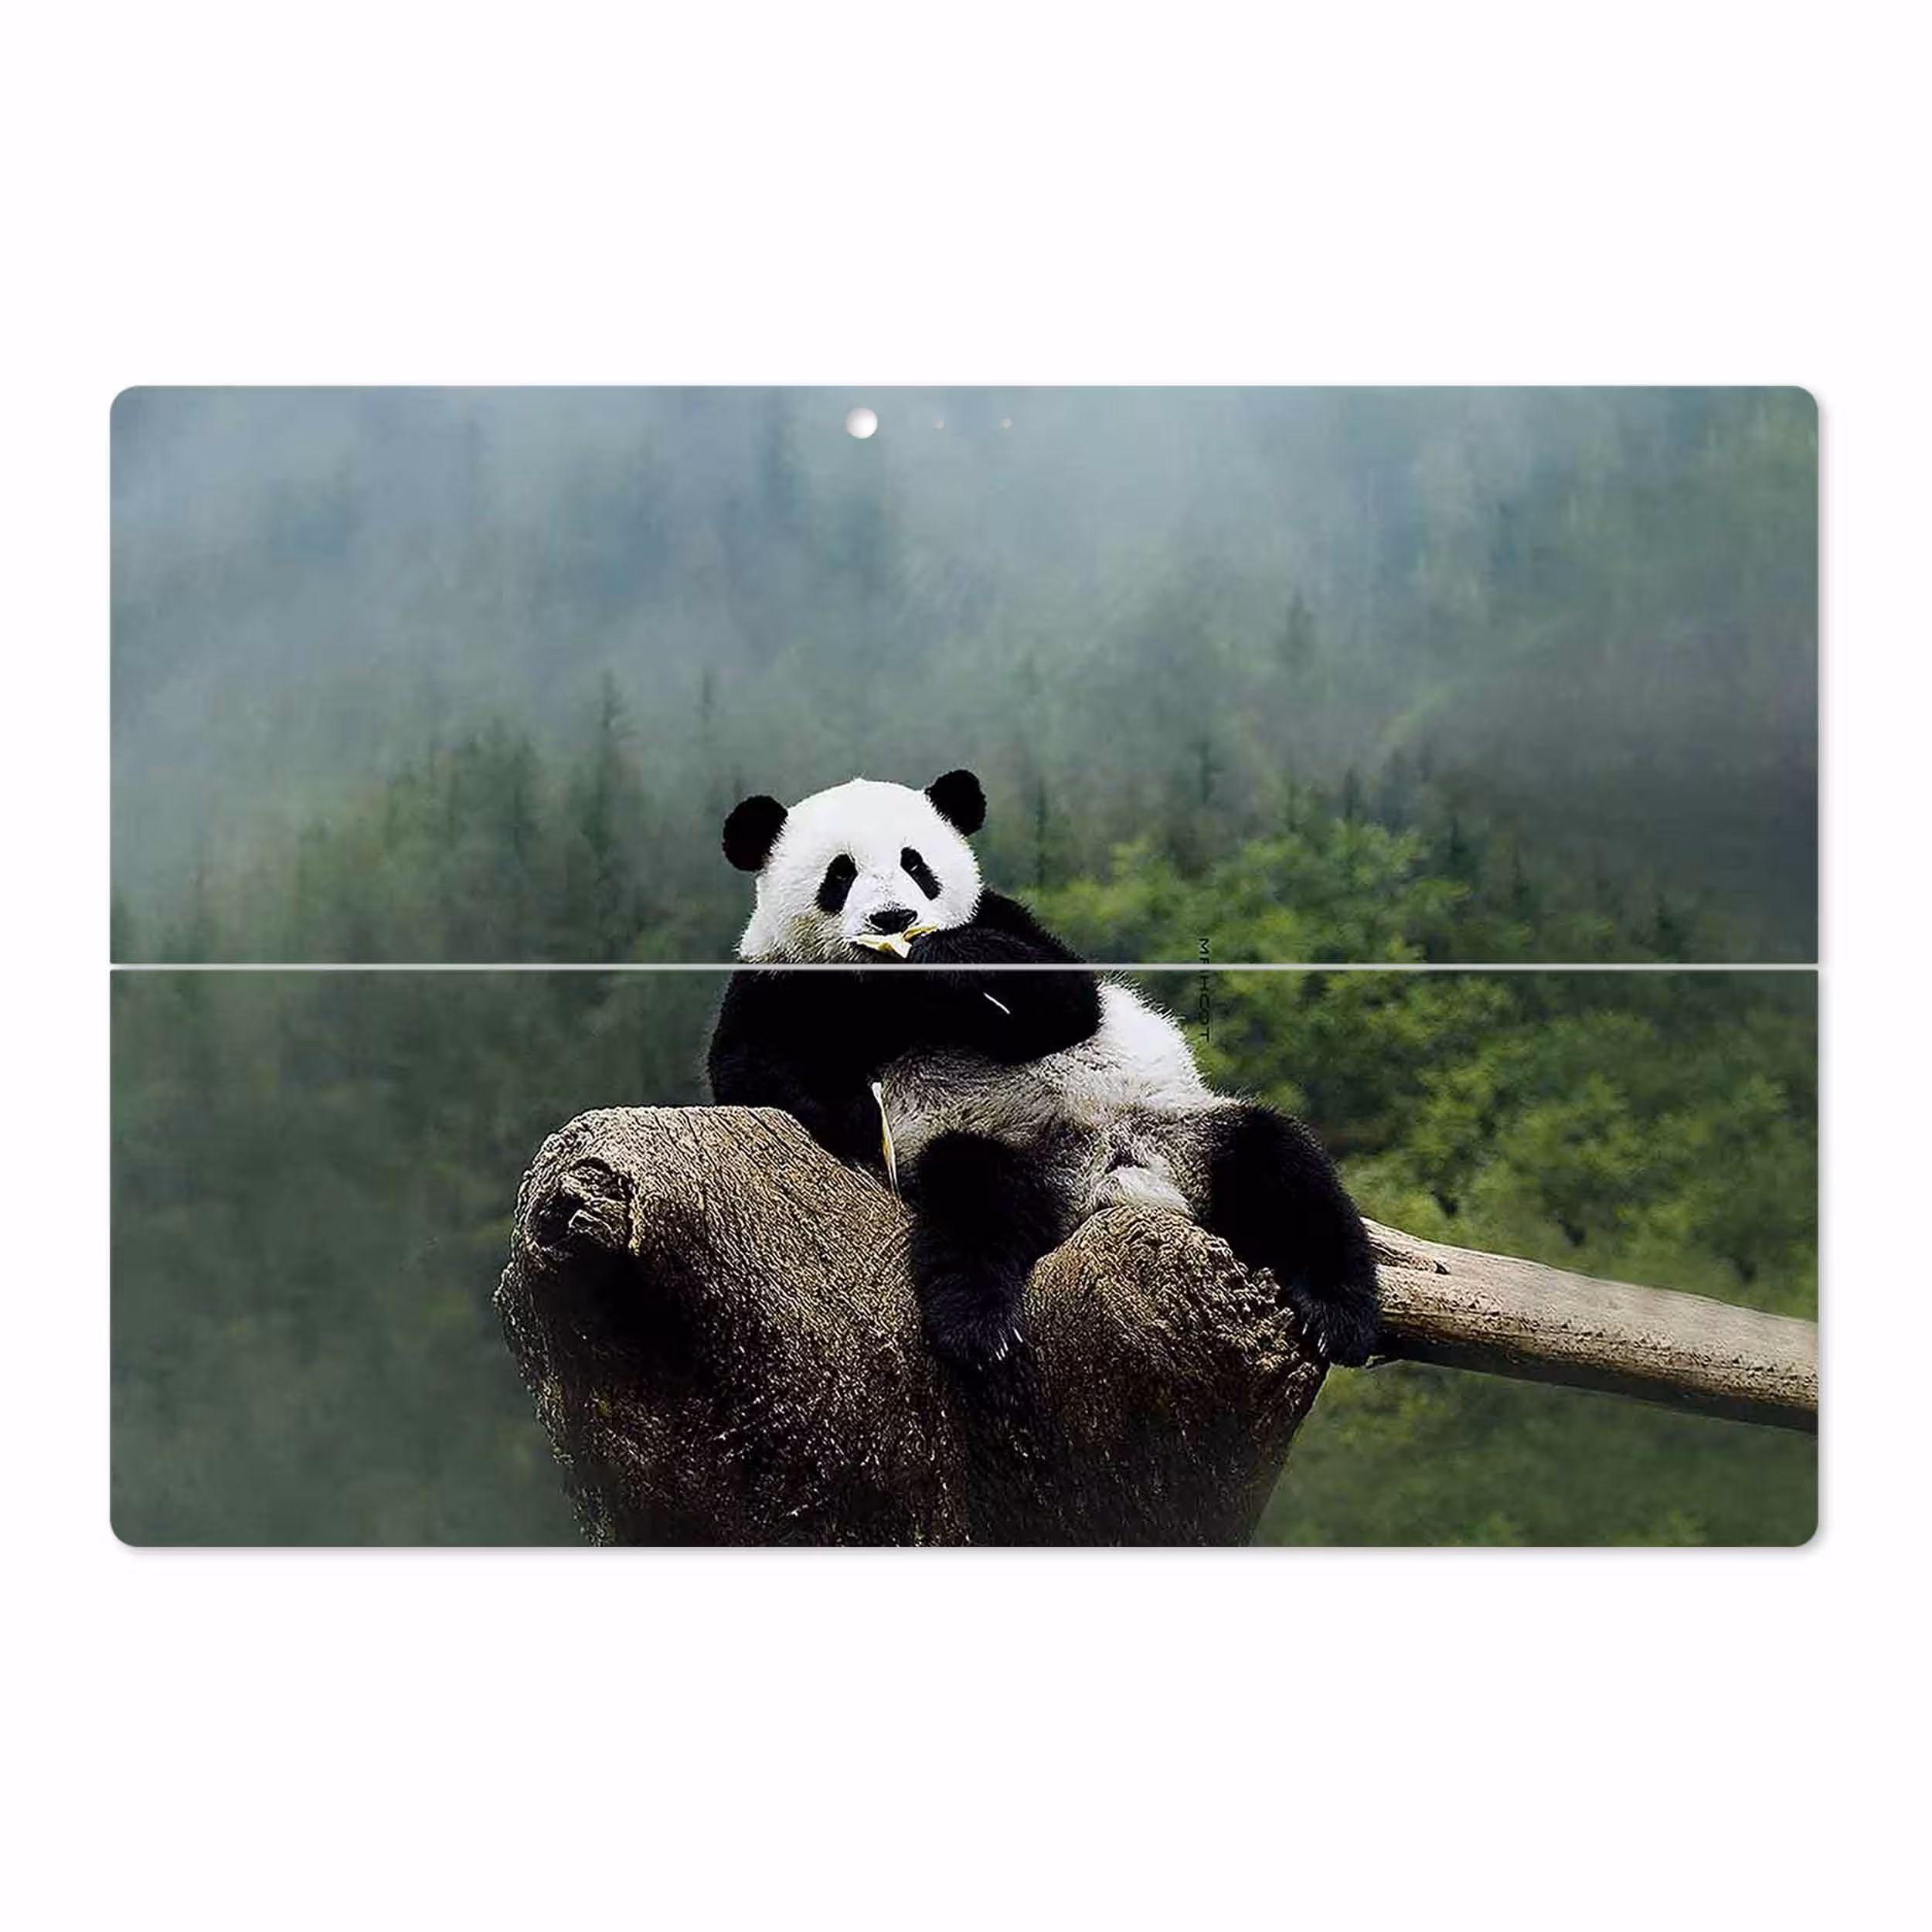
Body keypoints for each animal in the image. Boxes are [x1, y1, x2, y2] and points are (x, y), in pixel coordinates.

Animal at [706, 768, 1381, 1372]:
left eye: (916, 865)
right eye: (840, 874)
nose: (894, 919)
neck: (887, 989)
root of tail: (1107, 1177)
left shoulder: (1003, 919)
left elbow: (1068, 1001)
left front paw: (944, 956)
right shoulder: (777, 981)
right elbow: (749, 1071)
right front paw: (852, 1113)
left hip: (1179, 1129)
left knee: (1283, 1165)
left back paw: (1339, 1316)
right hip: (995, 1148)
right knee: (974, 1203)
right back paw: (979, 1328)